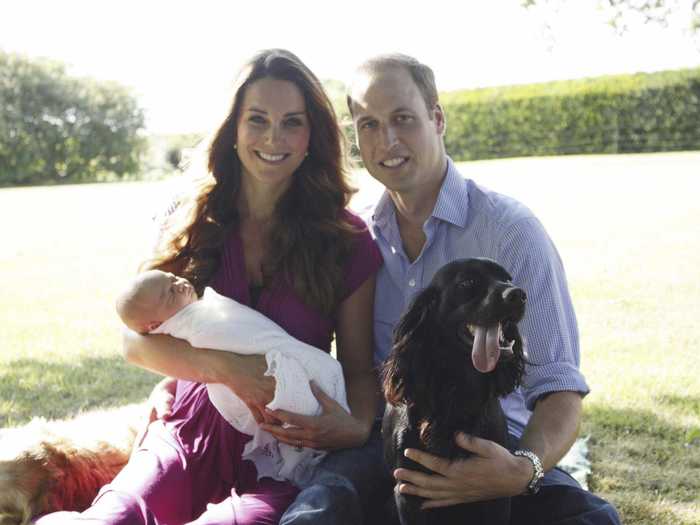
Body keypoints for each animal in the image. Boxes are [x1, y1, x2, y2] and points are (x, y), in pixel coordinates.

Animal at [382, 256, 524, 520]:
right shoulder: (407, 490)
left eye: (508, 279)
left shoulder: (497, 488)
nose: (518, 294)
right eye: (467, 282)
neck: (457, 389)